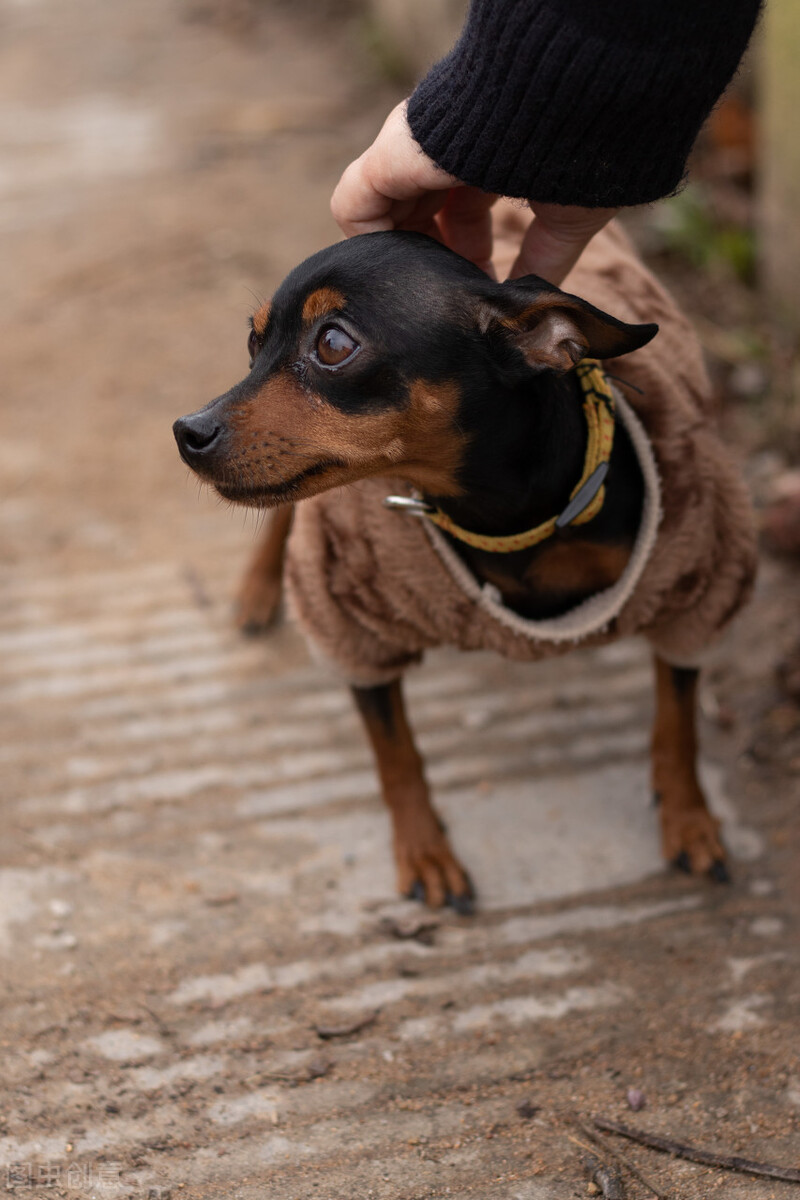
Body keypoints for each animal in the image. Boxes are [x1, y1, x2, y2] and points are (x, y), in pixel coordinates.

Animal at [175, 225, 758, 907]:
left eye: (333, 344)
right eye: (253, 341)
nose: (188, 432)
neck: (497, 514)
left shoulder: (695, 586)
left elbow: (677, 721)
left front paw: (689, 820)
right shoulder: (357, 628)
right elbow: (396, 757)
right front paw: (425, 853)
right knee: (281, 517)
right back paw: (258, 589)